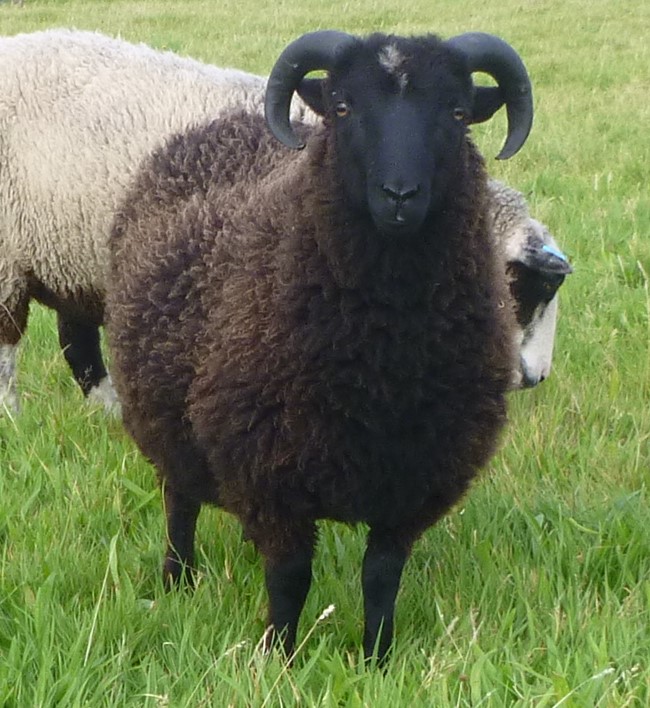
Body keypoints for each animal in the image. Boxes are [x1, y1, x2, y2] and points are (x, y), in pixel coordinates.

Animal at [106, 29, 534, 660]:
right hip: (163, 420)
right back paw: (177, 580)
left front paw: (378, 658)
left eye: (458, 113)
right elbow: (289, 576)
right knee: (179, 505)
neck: (385, 354)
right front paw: (280, 656)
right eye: (342, 107)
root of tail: (219, 124)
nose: (399, 195)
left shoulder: (414, 475)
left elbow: (381, 576)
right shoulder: (271, 471)